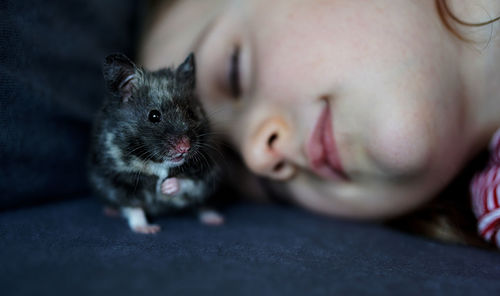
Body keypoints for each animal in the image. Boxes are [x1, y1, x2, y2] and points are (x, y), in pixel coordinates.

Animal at [89, 53, 224, 234]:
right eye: (154, 116)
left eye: (191, 113)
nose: (185, 147)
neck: (158, 162)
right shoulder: (117, 180)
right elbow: (133, 207)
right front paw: (149, 229)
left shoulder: (208, 169)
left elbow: (190, 183)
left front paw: (165, 187)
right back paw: (110, 211)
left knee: (202, 204)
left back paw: (215, 219)